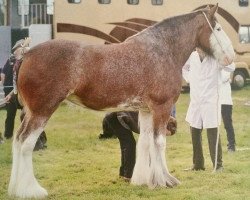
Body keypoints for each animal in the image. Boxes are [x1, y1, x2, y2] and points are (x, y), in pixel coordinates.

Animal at [8, 4, 234, 198]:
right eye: (218, 28)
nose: (230, 58)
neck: (163, 50)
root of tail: (26, 54)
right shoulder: (162, 108)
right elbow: (159, 143)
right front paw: (166, 181)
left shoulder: (146, 110)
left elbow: (145, 142)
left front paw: (144, 180)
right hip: (42, 111)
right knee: (26, 144)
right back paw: (32, 190)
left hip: (31, 112)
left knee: (17, 141)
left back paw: (15, 189)